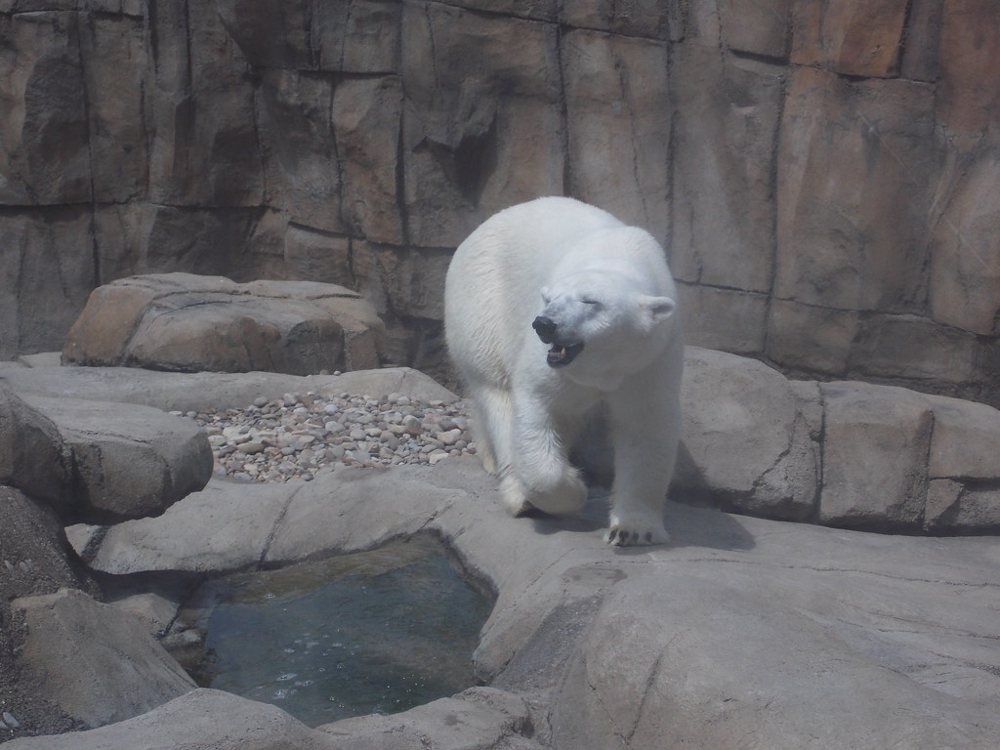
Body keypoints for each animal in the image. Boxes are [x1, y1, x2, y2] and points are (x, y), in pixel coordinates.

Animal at [444, 197, 683, 546]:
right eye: (550, 298)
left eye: (590, 301)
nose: (545, 323)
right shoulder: (551, 366)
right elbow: (537, 404)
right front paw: (573, 490)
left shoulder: (649, 358)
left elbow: (645, 428)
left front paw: (632, 530)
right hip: (483, 304)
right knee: (497, 393)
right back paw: (519, 494)